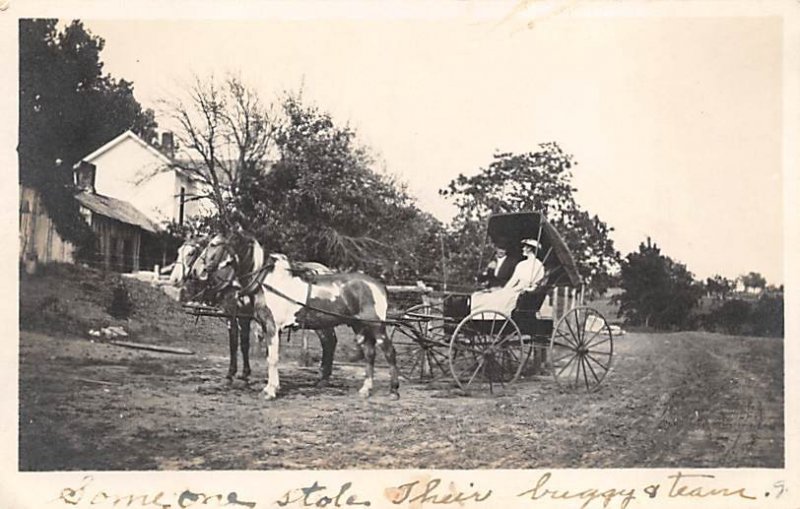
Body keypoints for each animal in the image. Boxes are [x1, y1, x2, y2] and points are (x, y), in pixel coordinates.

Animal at [170, 236, 340, 382]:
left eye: (191, 253)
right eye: (178, 251)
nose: (175, 279)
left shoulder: (237, 314)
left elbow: (238, 342)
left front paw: (235, 372)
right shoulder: (238, 315)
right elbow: (240, 342)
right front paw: (242, 372)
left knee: (328, 340)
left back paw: (323, 374)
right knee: (329, 340)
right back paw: (324, 373)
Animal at [191, 230, 396, 400]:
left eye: (214, 244)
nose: (197, 270)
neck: (266, 281)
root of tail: (378, 285)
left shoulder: (272, 327)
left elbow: (272, 358)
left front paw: (269, 391)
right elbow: (265, 354)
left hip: (376, 327)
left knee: (388, 352)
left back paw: (394, 390)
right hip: (359, 326)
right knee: (369, 353)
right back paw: (365, 389)